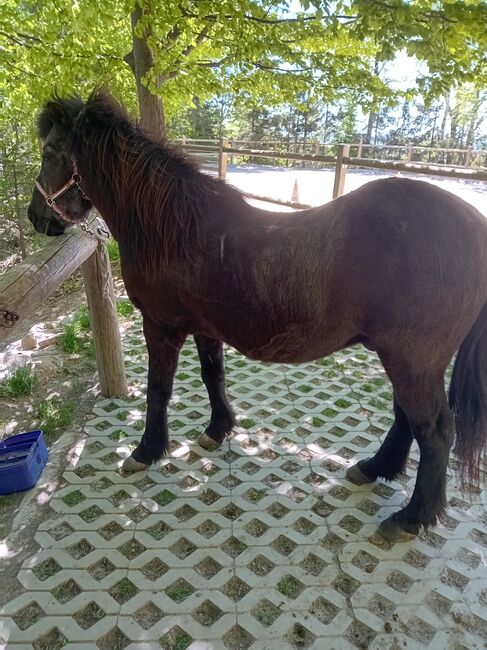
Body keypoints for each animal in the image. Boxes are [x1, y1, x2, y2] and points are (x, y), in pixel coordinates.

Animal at [27, 91, 487, 542]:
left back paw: (410, 518)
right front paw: (218, 429)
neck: (171, 229)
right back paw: (374, 469)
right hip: (404, 358)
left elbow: (158, 390)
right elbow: (213, 376)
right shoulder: (204, 328)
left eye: (49, 153)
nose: (36, 217)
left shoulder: (161, 327)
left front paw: (146, 451)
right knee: (408, 419)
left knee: (435, 430)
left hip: (411, 360)